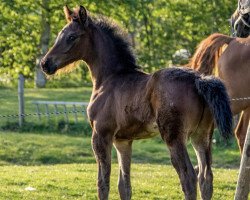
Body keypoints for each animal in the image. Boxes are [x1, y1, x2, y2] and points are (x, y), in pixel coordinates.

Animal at [41, 5, 232, 200]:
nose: (45, 63)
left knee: (189, 177)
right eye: (60, 34)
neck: (109, 79)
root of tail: (199, 79)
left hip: (174, 137)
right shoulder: (123, 140)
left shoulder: (101, 135)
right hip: (201, 135)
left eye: (71, 37)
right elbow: (124, 185)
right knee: (206, 177)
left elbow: (103, 183)